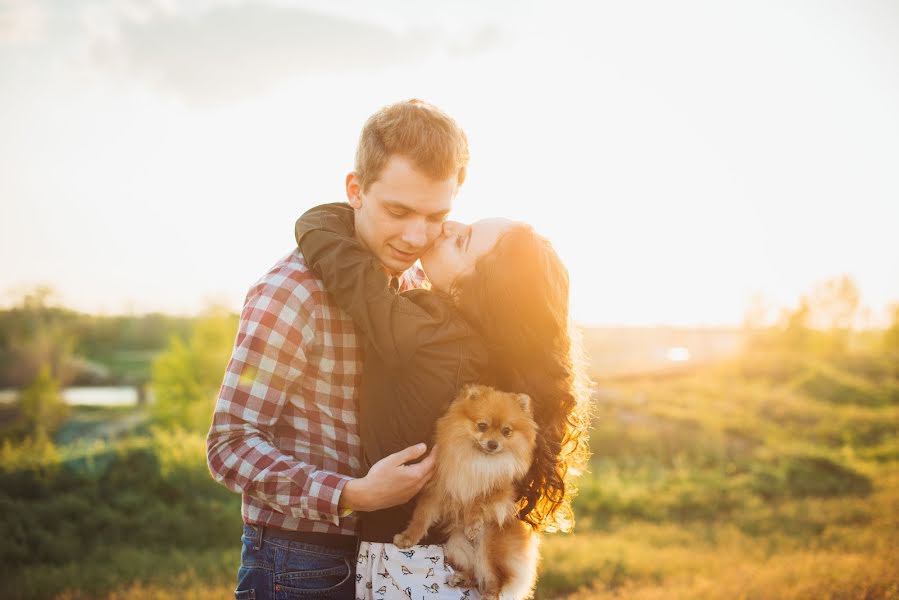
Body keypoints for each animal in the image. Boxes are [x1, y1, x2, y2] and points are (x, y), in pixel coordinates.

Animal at [396, 384, 540, 600]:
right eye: (482, 426)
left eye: (506, 431)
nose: (493, 444)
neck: (477, 459)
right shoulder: (437, 487)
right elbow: (422, 517)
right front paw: (408, 538)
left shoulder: (501, 491)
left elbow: (479, 500)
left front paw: (472, 523)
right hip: (457, 544)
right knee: (475, 573)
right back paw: (461, 578)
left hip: (490, 543)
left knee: (494, 579)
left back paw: (489, 593)